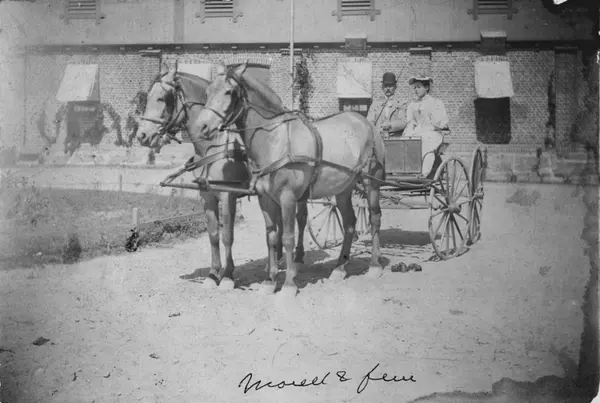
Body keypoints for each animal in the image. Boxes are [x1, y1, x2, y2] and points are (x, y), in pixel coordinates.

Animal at [136, 61, 308, 290]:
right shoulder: (207, 196)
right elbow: (213, 235)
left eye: (163, 98)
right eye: (147, 97)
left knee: (301, 219)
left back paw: (297, 259)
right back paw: (276, 260)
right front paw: (212, 274)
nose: (142, 135)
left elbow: (227, 235)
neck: (212, 147)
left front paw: (227, 275)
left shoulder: (228, 196)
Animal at [193, 62, 386, 297]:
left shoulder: (287, 198)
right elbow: (271, 237)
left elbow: (287, 237)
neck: (274, 140)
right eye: (208, 92)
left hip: (371, 183)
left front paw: (288, 284)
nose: (201, 127)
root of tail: (365, 122)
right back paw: (340, 268)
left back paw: (375, 265)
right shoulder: (265, 199)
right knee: (349, 223)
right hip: (343, 189)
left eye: (229, 92)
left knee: (375, 218)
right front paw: (269, 281)